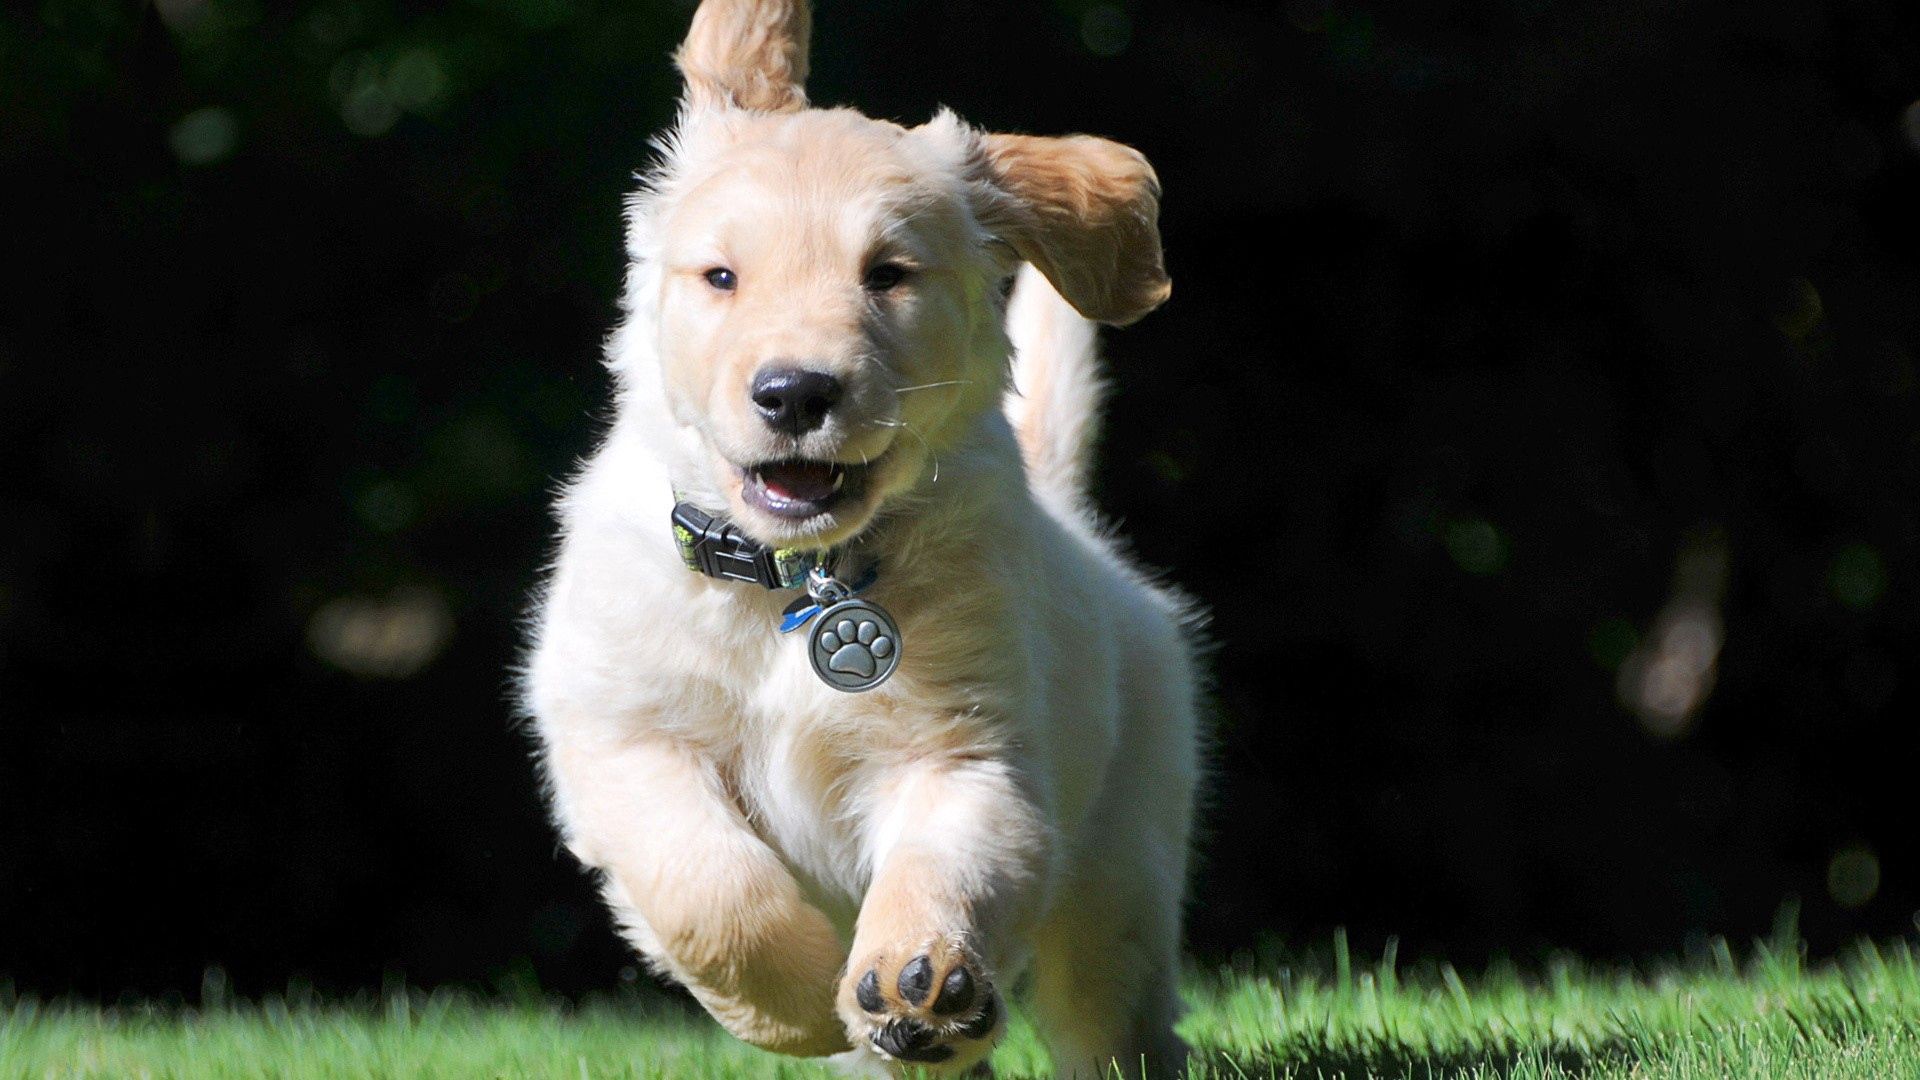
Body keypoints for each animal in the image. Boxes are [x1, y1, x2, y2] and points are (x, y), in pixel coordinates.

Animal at [526, 4, 1198, 1068]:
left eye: (888, 275)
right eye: (721, 276)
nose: (796, 392)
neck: (792, 584)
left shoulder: (968, 753)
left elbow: (944, 868)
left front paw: (918, 976)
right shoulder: (620, 732)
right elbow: (709, 890)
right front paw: (801, 1005)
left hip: (1123, 872)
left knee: (1115, 1015)